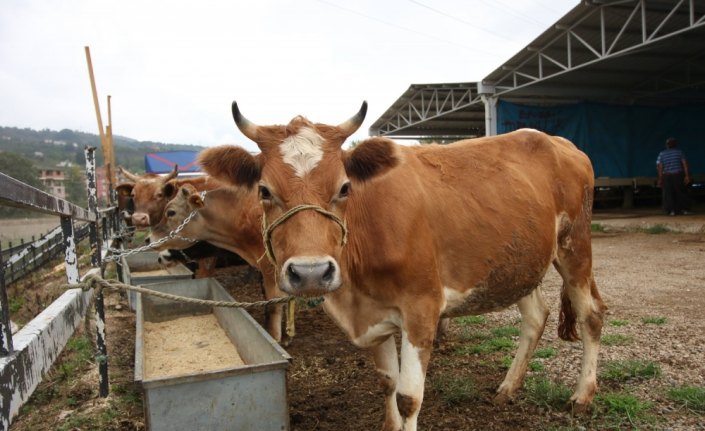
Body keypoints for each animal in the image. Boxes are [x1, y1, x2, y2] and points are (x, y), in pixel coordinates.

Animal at [150, 183, 290, 344]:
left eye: (171, 212)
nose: (148, 239)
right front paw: (286, 336)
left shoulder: (271, 268)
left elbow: (274, 304)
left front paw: (275, 338)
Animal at [198, 102, 604, 431]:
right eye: (264, 190)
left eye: (344, 187)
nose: (311, 272)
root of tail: (562, 143)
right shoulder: (372, 314)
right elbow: (388, 384)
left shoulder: (421, 308)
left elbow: (409, 398)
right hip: (519, 261)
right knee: (536, 315)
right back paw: (508, 388)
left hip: (575, 245)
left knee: (591, 315)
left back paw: (582, 396)